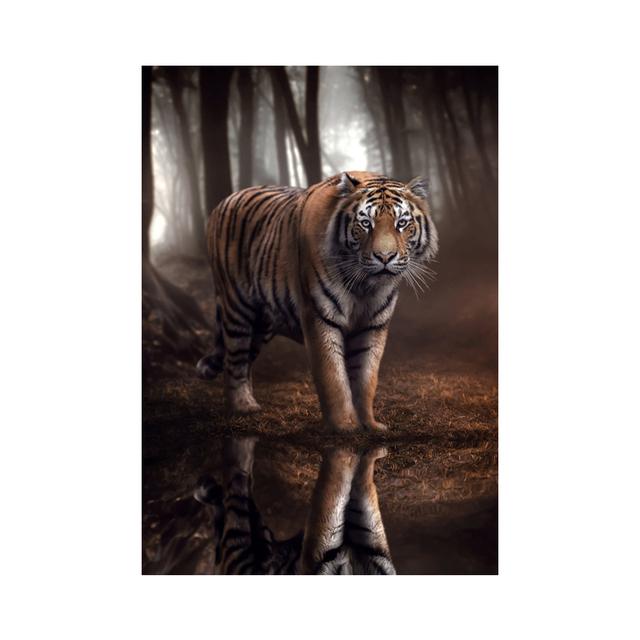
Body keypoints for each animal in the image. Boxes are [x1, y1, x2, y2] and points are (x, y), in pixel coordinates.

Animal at [196, 171, 438, 431]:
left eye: (401, 223)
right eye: (365, 223)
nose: (384, 257)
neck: (365, 287)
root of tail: (223, 201)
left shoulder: (374, 325)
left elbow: (366, 377)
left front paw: (369, 425)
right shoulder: (320, 316)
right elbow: (333, 376)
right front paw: (344, 426)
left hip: (263, 323)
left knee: (246, 360)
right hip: (237, 307)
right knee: (235, 361)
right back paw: (243, 406)